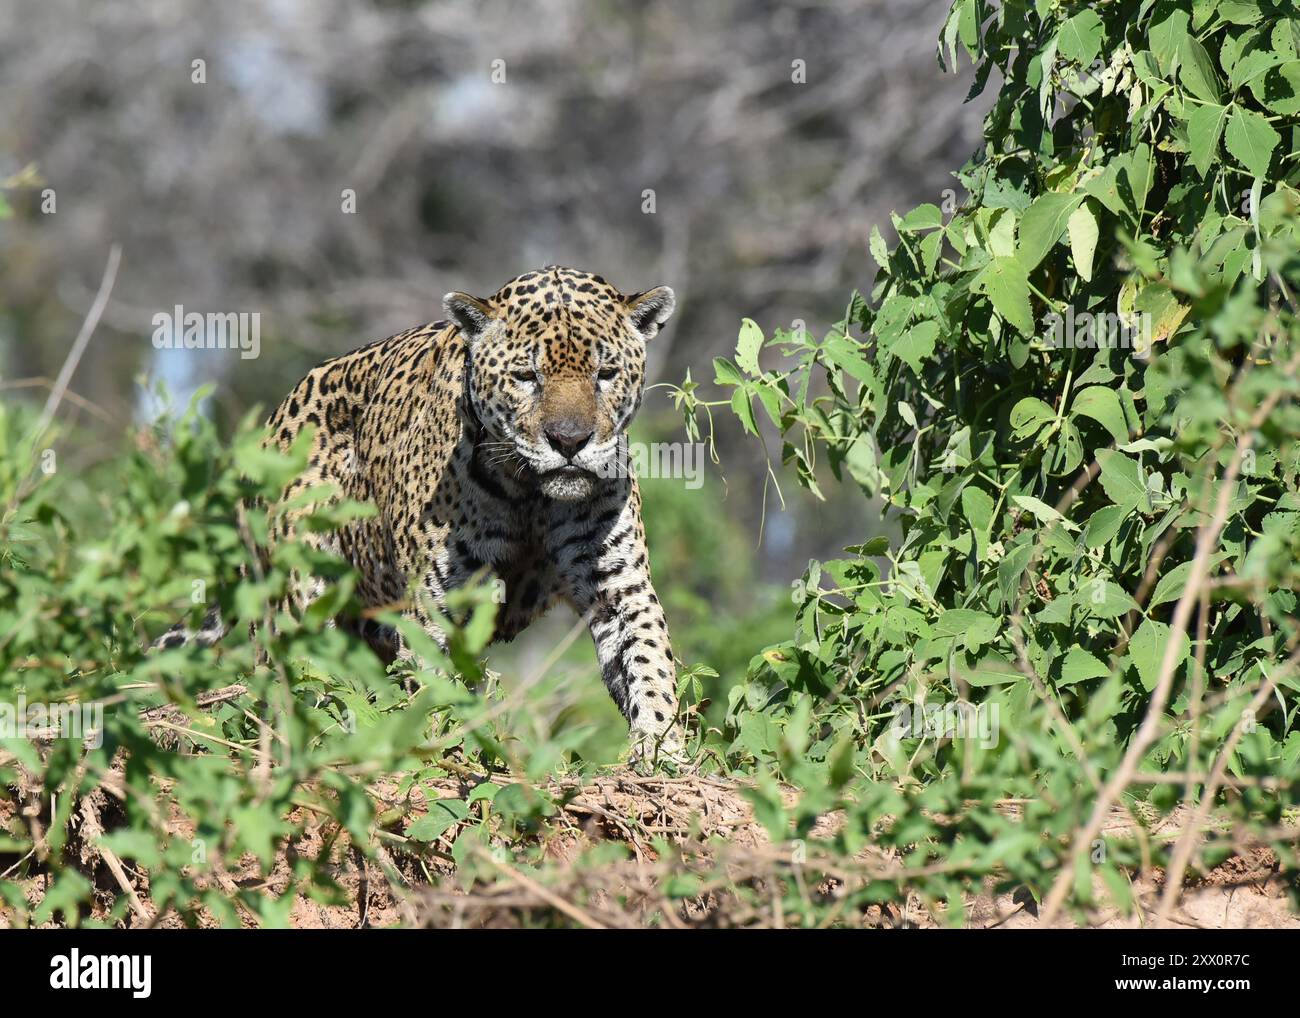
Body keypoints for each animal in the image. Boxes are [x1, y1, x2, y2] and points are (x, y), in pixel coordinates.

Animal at [166, 266, 685, 762]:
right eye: (525, 376)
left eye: (606, 373)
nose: (570, 441)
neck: (530, 494)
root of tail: (277, 417)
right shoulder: (437, 605)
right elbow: (435, 687)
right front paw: (442, 746)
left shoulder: (619, 587)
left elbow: (650, 662)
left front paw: (661, 752)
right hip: (294, 603)